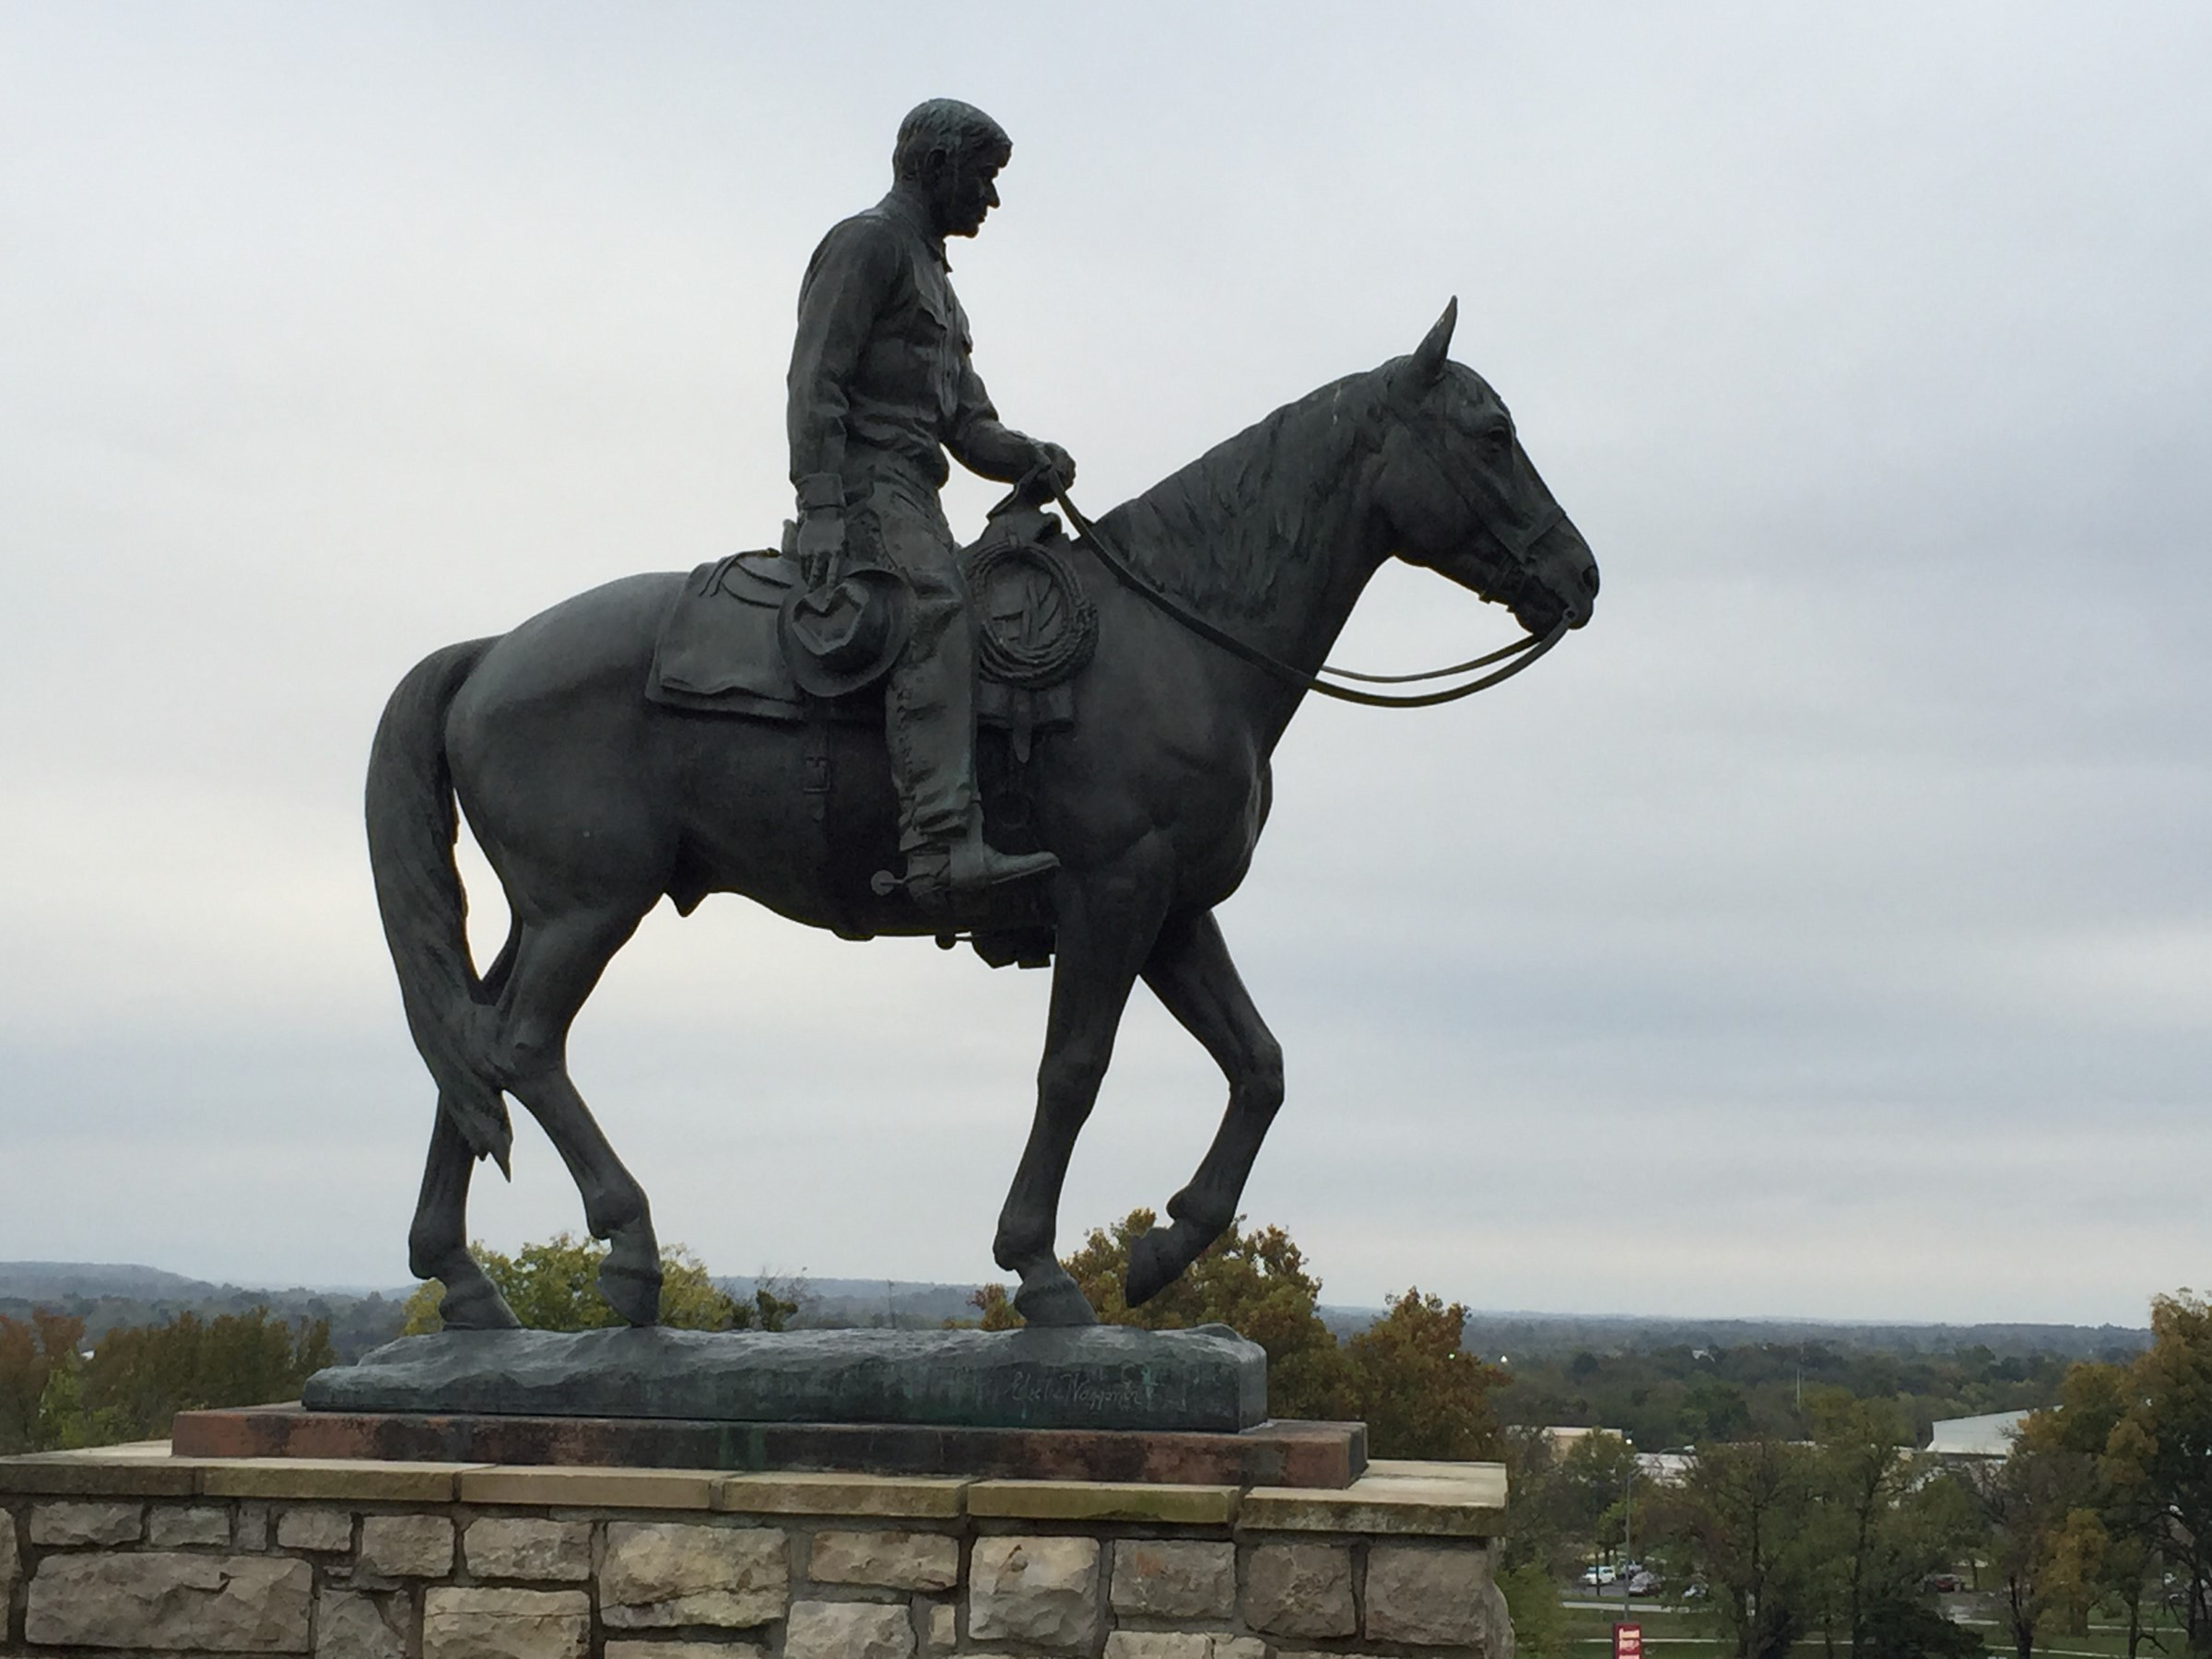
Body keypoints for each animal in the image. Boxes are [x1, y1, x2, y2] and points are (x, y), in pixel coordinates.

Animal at [371, 302, 1601, 1335]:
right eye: (1492, 433)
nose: (1581, 577)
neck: (1182, 634)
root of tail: (491, 652)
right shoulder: (1114, 894)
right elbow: (1076, 1068)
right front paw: (1045, 1270)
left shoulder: (1173, 910)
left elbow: (1260, 1065)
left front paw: (1165, 1251)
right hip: (589, 906)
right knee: (520, 1046)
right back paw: (627, 1254)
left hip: (545, 913)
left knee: (468, 1049)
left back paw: (467, 1287)